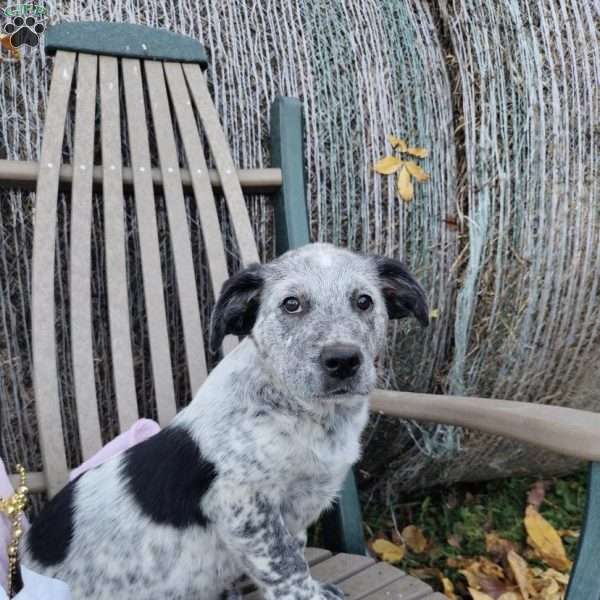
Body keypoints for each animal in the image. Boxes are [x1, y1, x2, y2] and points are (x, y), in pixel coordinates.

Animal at [21, 244, 428, 600]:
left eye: (364, 301)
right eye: (291, 304)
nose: (343, 360)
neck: (301, 413)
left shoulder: (295, 510)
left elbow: (296, 554)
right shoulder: (242, 506)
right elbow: (288, 569)